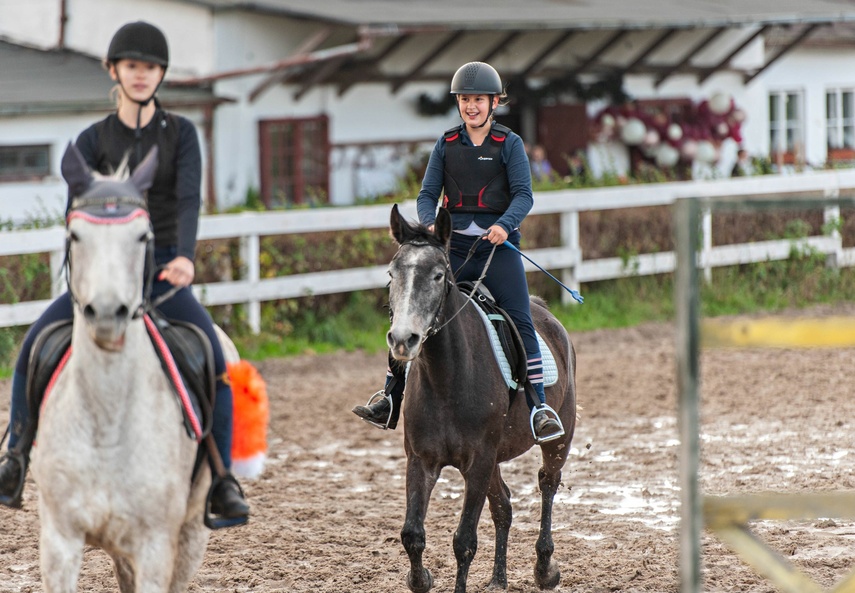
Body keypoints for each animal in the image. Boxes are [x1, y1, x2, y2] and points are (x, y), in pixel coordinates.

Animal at [30, 145, 212, 592]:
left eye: (143, 237)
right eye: (75, 236)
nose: (108, 313)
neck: (107, 422)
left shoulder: (156, 548)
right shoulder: (59, 540)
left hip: (191, 536)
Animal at [390, 205, 580, 592]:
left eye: (437, 276)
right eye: (392, 273)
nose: (403, 339)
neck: (446, 379)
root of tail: (545, 313)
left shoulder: (477, 462)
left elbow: (464, 541)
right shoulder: (421, 460)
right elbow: (412, 535)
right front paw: (422, 578)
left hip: (558, 440)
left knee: (547, 483)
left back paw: (545, 569)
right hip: (493, 459)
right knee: (503, 506)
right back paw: (498, 577)